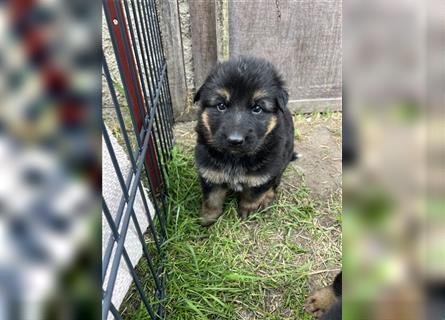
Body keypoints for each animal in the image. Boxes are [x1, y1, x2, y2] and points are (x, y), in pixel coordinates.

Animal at [192, 57, 294, 228]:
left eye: (257, 108)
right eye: (221, 106)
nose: (235, 140)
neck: (235, 158)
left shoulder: (263, 175)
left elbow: (252, 196)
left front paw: (247, 212)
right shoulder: (210, 172)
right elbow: (211, 200)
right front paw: (207, 218)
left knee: (275, 183)